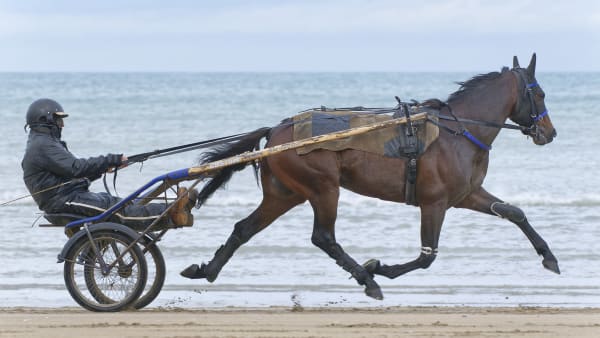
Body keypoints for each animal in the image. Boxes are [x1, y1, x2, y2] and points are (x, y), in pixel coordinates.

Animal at [180, 54, 560, 300]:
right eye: (540, 93)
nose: (549, 132)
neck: (457, 132)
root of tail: (276, 131)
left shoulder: (466, 195)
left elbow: (514, 213)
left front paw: (549, 257)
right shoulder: (434, 202)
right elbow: (427, 256)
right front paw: (379, 268)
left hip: (285, 194)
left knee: (244, 229)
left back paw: (207, 270)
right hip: (323, 188)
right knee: (323, 237)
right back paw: (367, 279)